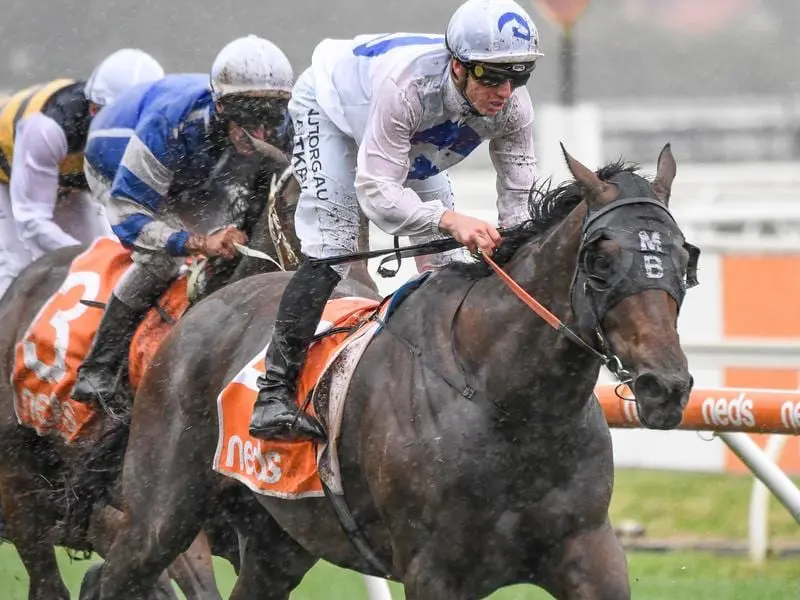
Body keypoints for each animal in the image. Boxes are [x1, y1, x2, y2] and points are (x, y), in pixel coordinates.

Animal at [79, 143, 692, 596]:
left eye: (686, 257)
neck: (507, 401)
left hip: (280, 541)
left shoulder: (588, 552)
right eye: (600, 259)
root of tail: (200, 312)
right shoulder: (435, 572)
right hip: (162, 514)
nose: (666, 386)